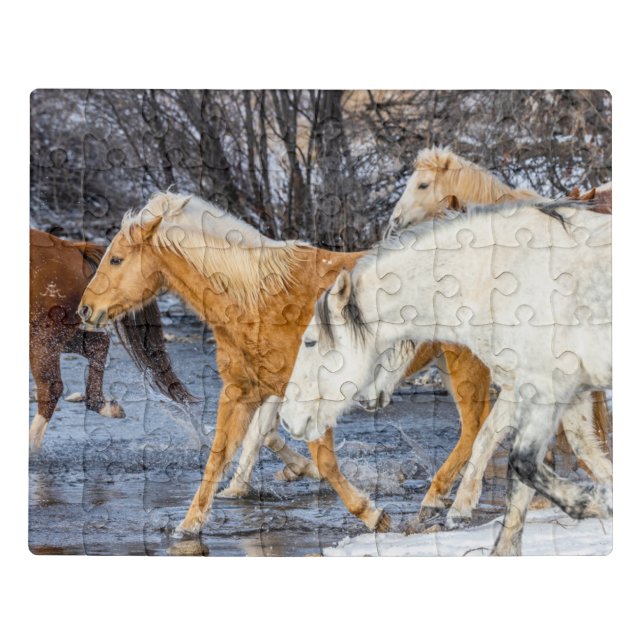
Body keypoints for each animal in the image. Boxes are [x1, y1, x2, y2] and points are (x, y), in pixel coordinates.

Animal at [29, 228, 194, 450]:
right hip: (53, 338)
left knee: (51, 387)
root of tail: (73, 249)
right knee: (98, 344)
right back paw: (104, 406)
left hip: (43, 338)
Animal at [78, 192, 512, 537]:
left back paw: (436, 499)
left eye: (116, 259)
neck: (257, 299)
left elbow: (322, 461)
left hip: (466, 364)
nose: (86, 309)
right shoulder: (242, 391)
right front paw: (189, 525)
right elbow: (221, 455)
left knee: (476, 427)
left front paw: (372, 515)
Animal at [279, 198, 612, 555]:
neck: (496, 279)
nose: (287, 418)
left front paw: (593, 503)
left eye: (310, 342)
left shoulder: (544, 387)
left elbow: (520, 462)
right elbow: (552, 452)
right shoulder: (550, 390)